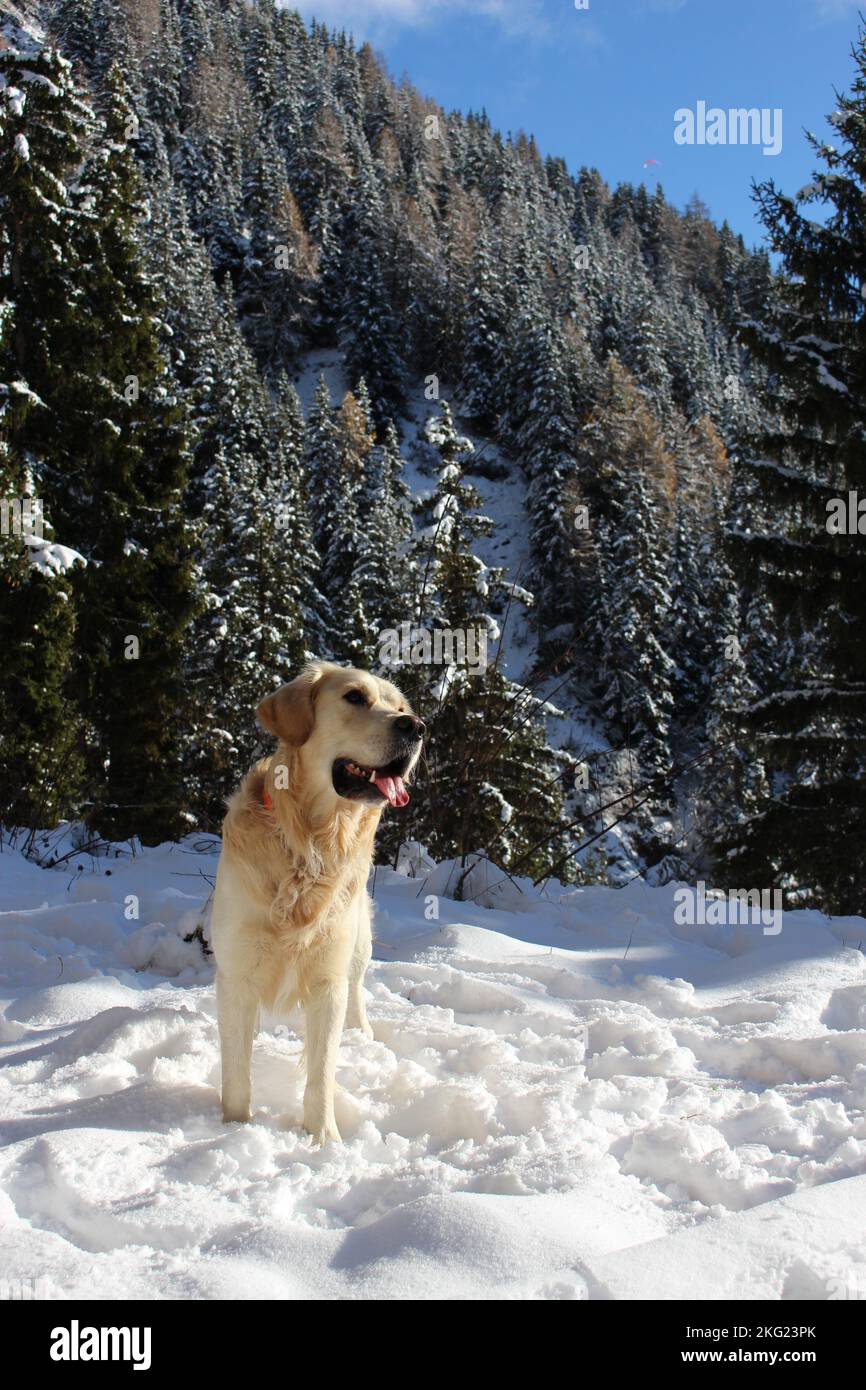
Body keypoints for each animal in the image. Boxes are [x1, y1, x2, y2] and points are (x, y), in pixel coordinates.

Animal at [211, 658, 425, 1139]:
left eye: (400, 707)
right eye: (354, 697)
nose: (417, 727)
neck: (311, 845)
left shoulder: (328, 980)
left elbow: (322, 1070)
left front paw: (323, 1138)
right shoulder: (236, 974)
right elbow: (237, 1071)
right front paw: (233, 1129)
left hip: (358, 946)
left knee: (357, 990)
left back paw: (362, 1034)